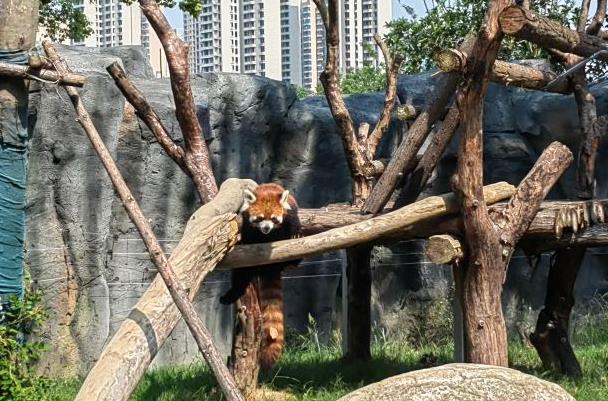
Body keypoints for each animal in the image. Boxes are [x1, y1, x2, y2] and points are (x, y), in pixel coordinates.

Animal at [221, 183, 302, 368]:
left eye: (273, 219)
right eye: (259, 219)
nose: (266, 228)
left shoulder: (290, 212)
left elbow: (293, 224)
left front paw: (296, 233)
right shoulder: (247, 221)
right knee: (241, 275)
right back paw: (230, 296)